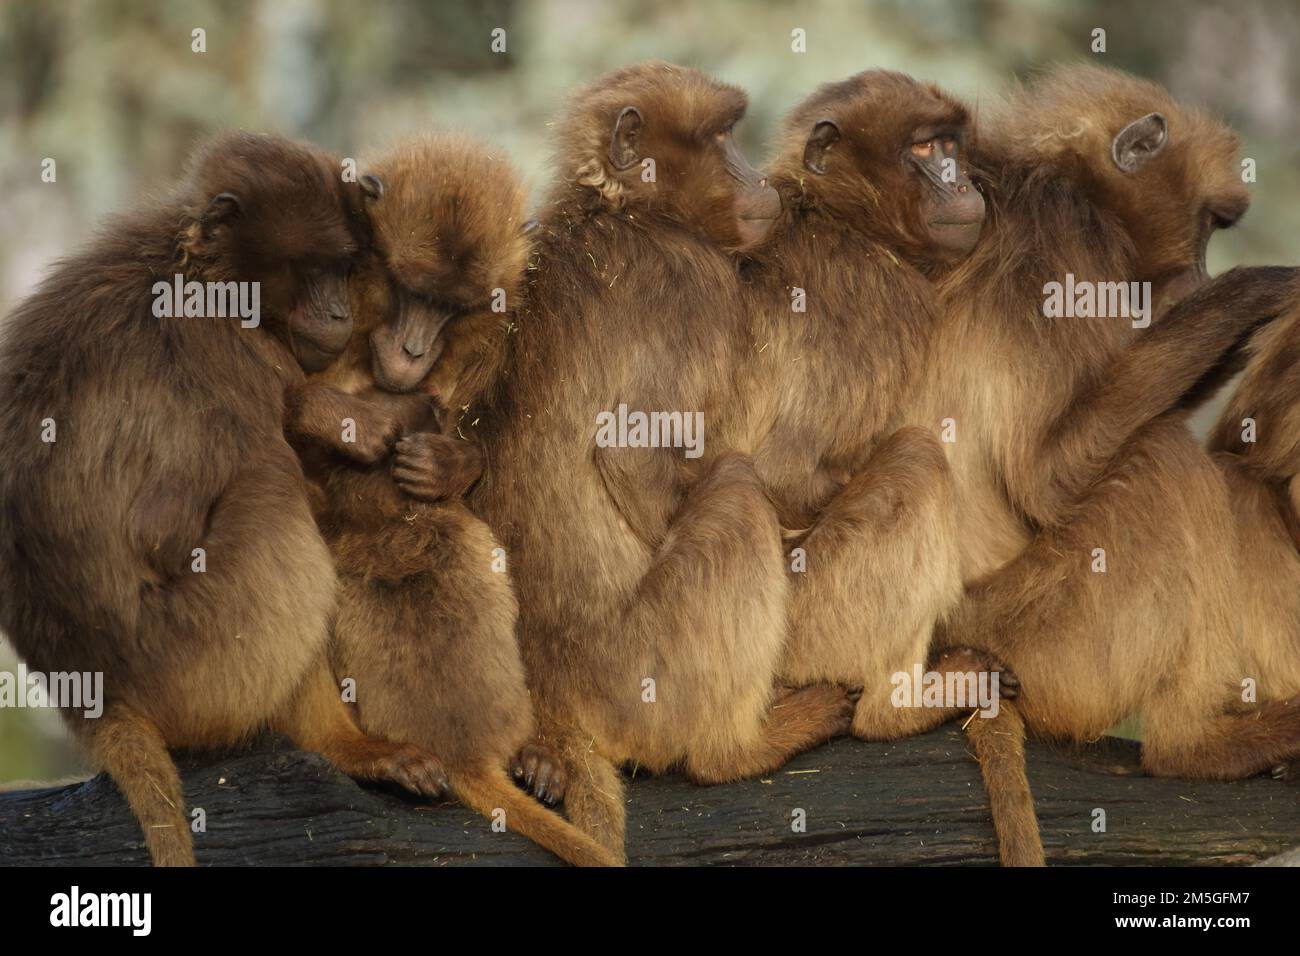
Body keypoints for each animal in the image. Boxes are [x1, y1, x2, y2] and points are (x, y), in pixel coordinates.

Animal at [0, 132, 449, 868]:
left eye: (344, 269)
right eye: (314, 268)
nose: (339, 312)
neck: (199, 270)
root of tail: (93, 692)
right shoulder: (232, 352)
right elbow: (172, 529)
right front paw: (360, 422)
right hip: (197, 667)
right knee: (270, 480)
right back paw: (341, 746)